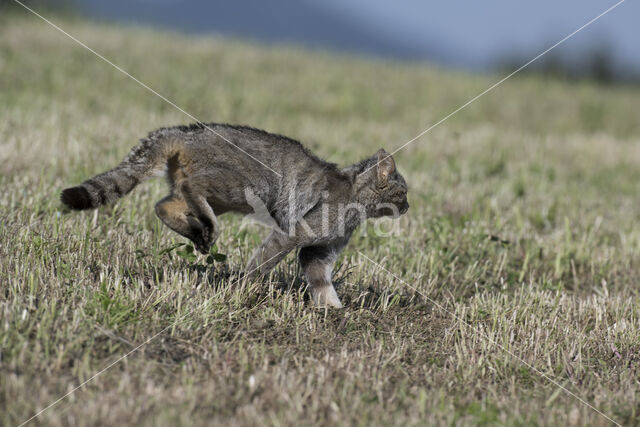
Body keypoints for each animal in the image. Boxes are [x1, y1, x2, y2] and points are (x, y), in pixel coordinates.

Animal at [61, 123, 410, 308]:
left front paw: (334, 310)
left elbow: (321, 282)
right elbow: (262, 263)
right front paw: (243, 286)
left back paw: (198, 233)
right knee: (190, 188)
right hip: (241, 187)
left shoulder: (317, 252)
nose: (408, 206)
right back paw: (206, 231)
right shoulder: (296, 234)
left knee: (163, 204)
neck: (355, 200)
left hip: (218, 196)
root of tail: (188, 133)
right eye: (403, 192)